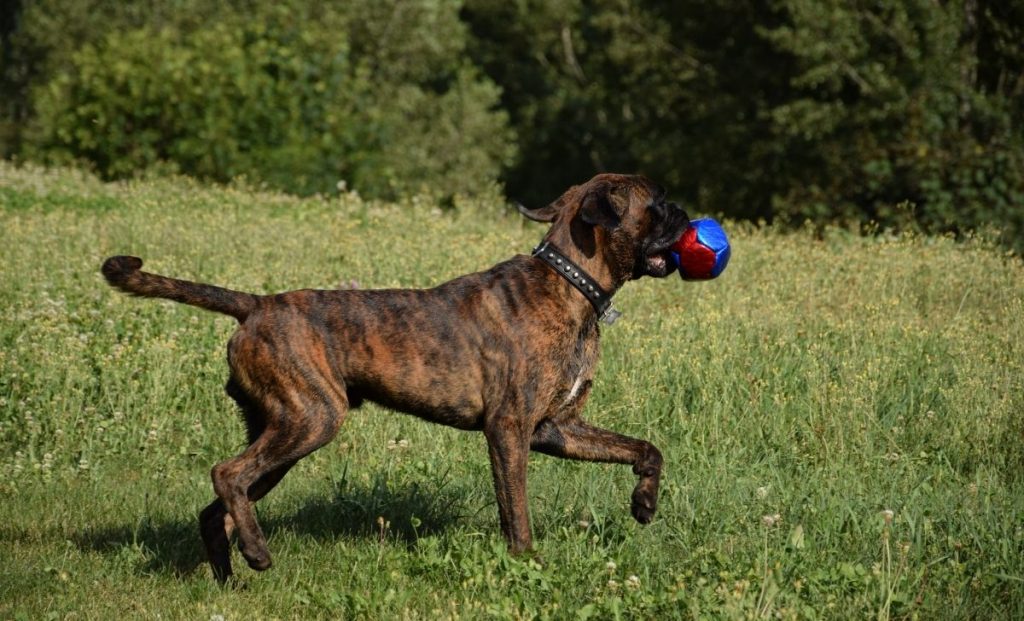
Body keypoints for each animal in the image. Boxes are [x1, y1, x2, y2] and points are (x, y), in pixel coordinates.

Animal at [99, 171, 688, 582]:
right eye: (658, 205)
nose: (685, 213)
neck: (570, 283)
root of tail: (256, 306)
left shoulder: (558, 429)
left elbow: (646, 449)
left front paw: (644, 502)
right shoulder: (510, 430)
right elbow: (515, 512)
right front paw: (525, 563)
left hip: (281, 437)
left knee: (219, 506)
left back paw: (229, 575)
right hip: (311, 419)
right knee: (225, 475)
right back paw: (258, 553)